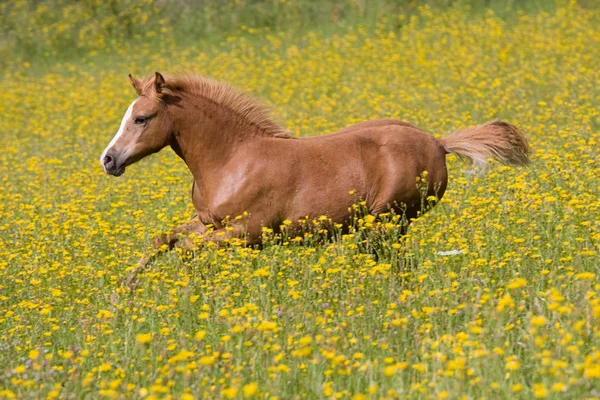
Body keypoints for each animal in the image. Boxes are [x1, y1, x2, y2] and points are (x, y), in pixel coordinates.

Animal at [99, 72, 528, 272]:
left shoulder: (247, 233)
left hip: (385, 220)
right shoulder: (208, 222)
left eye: (141, 118)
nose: (108, 160)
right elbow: (163, 240)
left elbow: (187, 249)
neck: (232, 159)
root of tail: (438, 143)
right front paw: (126, 291)